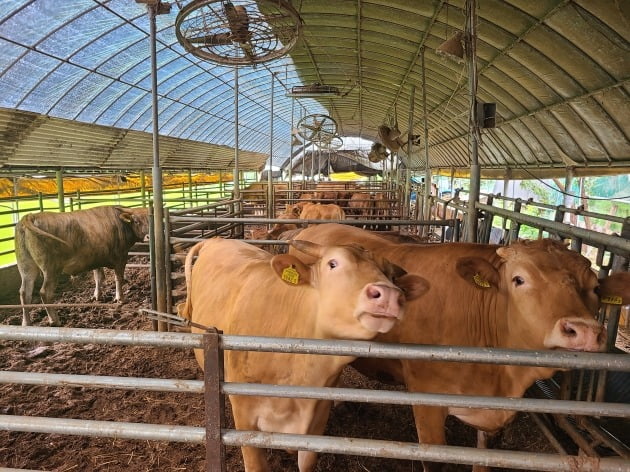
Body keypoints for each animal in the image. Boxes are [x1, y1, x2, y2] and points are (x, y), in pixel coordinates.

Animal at [15, 205, 149, 326]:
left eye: (150, 220)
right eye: (136, 221)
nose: (148, 236)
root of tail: (30, 216)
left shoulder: (97, 258)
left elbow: (99, 278)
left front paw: (96, 296)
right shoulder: (121, 258)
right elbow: (118, 279)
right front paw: (120, 298)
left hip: (26, 267)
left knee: (24, 293)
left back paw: (26, 322)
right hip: (51, 269)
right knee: (45, 292)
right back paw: (54, 320)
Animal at [178, 238, 430, 472]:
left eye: (391, 276)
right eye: (333, 263)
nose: (388, 295)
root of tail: (217, 239)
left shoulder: (316, 419)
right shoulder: (245, 416)